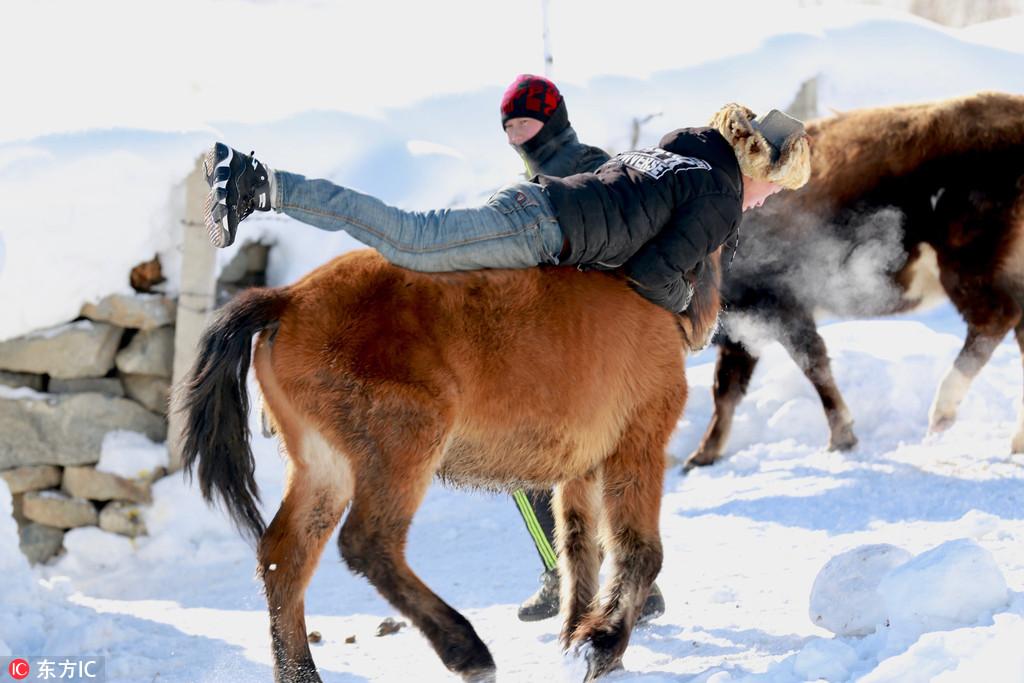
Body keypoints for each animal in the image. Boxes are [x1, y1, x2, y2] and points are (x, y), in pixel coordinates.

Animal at [176, 252, 720, 683]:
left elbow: (577, 548)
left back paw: (302, 675)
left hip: (323, 467)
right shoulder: (638, 441)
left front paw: (577, 636)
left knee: (282, 558)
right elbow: (638, 552)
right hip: (403, 445)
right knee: (368, 543)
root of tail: (288, 299)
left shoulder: (579, 470)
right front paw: (600, 644)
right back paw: (466, 650)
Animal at [684, 92, 1024, 471]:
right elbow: (726, 390)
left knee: (994, 319)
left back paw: (942, 412)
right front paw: (703, 455)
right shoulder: (742, 323)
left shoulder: (778, 305)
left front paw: (842, 438)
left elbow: (813, 364)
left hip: (967, 262)